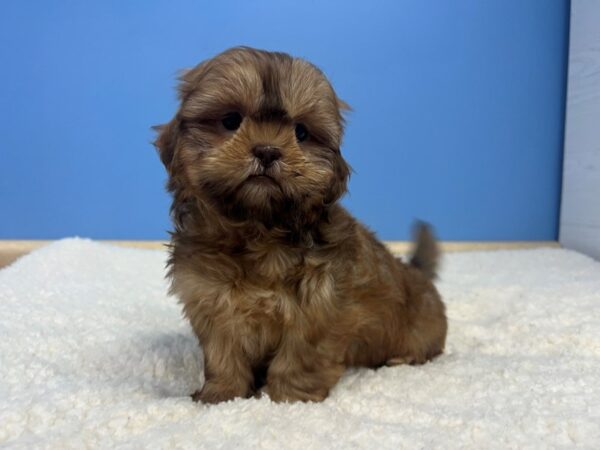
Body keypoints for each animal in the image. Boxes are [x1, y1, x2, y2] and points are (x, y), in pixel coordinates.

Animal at [155, 46, 446, 404]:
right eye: (231, 121)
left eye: (301, 133)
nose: (267, 151)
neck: (258, 229)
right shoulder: (211, 301)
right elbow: (224, 354)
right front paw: (222, 394)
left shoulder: (320, 307)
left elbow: (299, 356)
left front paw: (289, 398)